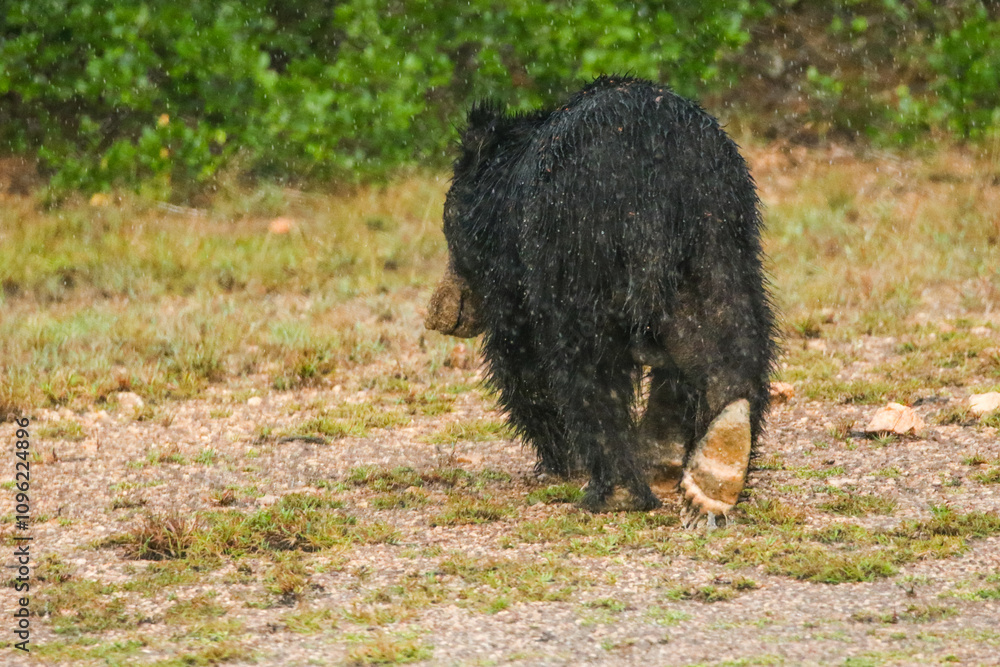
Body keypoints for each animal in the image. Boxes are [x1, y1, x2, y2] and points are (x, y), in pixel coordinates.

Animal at [425, 76, 777, 528]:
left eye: (448, 229)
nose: (440, 314)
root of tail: (654, 175)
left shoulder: (514, 258)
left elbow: (520, 351)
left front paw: (562, 459)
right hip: (720, 235)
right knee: (731, 329)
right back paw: (714, 466)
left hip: (579, 247)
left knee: (585, 359)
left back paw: (617, 491)